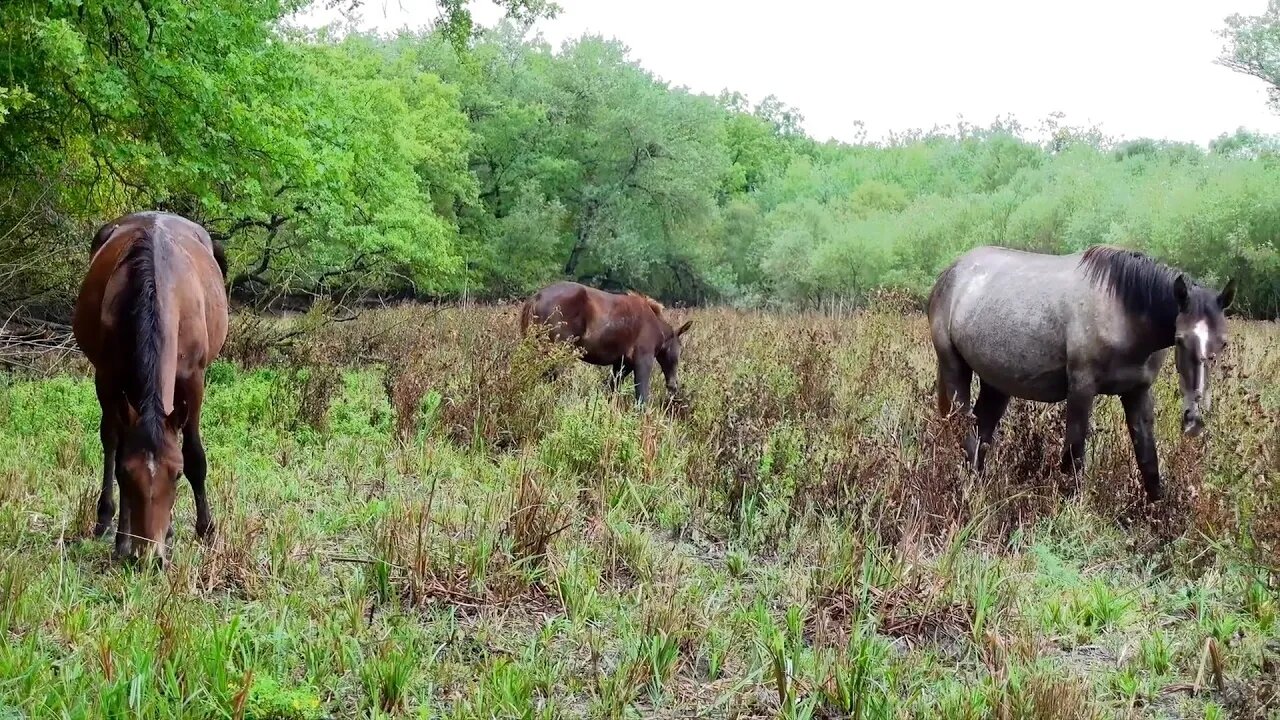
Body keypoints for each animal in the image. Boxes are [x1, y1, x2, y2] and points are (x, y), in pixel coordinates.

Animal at [72, 207, 229, 561]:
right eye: (128, 474)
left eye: (176, 473)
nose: (150, 557)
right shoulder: (109, 378)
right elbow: (117, 449)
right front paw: (122, 540)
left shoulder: (193, 379)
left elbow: (195, 454)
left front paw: (206, 529)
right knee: (110, 439)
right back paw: (105, 518)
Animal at [517, 280, 691, 404]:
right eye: (679, 350)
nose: (673, 386)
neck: (656, 327)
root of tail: (536, 297)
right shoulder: (643, 360)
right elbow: (642, 397)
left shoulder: (622, 364)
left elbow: (612, 389)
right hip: (556, 351)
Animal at [931, 244, 1228, 499]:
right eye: (1180, 339)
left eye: (1223, 343)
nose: (1194, 419)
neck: (1122, 311)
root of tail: (948, 274)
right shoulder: (1081, 390)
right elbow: (1073, 456)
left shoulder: (1138, 392)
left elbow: (1147, 459)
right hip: (954, 371)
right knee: (965, 433)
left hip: (997, 384)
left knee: (981, 433)